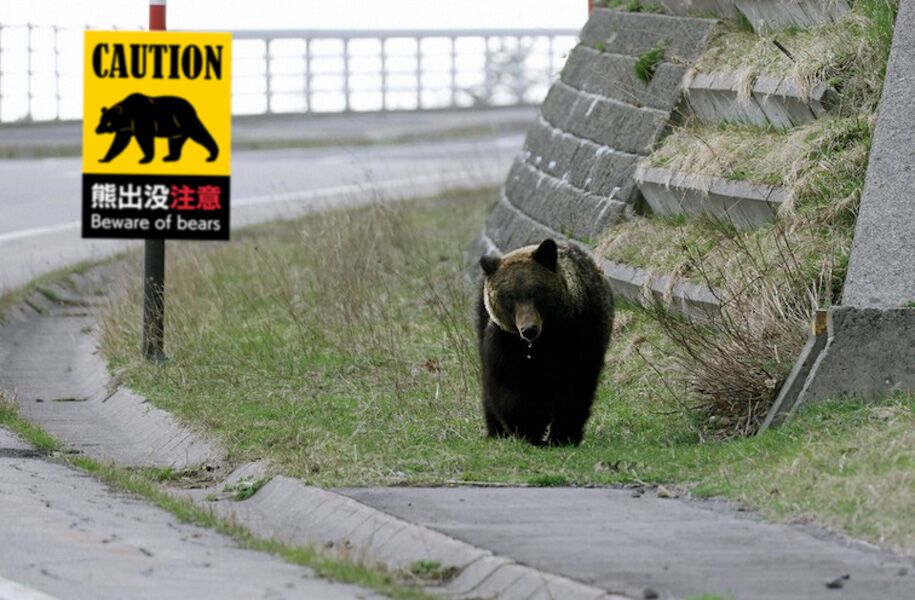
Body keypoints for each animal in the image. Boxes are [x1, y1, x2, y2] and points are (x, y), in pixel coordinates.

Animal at [477, 238, 614, 446]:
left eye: (536, 291)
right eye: (509, 296)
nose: (529, 329)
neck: (544, 339)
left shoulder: (580, 334)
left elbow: (574, 387)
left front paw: (562, 435)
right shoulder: (506, 342)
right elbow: (509, 385)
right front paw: (529, 430)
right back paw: (496, 430)